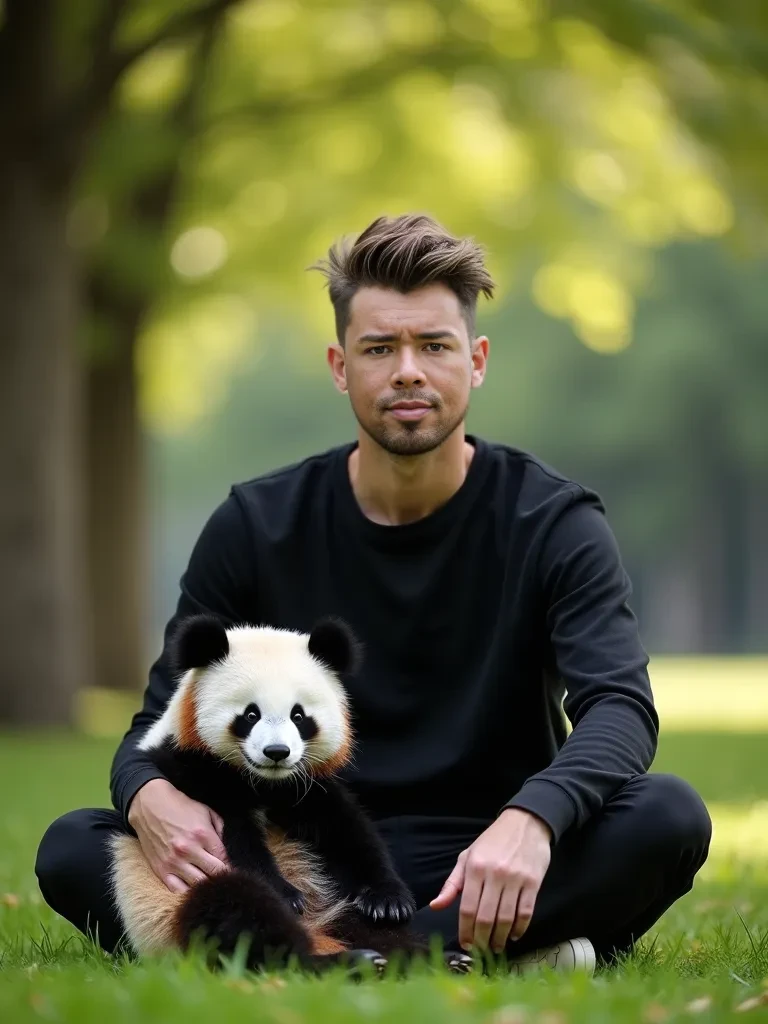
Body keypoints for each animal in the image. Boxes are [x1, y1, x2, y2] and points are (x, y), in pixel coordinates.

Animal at [109, 612, 472, 976]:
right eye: (250, 714)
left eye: (299, 715)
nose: (277, 752)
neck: (263, 782)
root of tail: (320, 929)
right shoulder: (190, 774)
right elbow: (235, 841)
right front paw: (285, 894)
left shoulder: (306, 787)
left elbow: (349, 831)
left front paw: (388, 901)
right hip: (173, 904)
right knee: (242, 917)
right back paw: (342, 961)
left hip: (338, 903)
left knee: (379, 931)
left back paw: (434, 959)